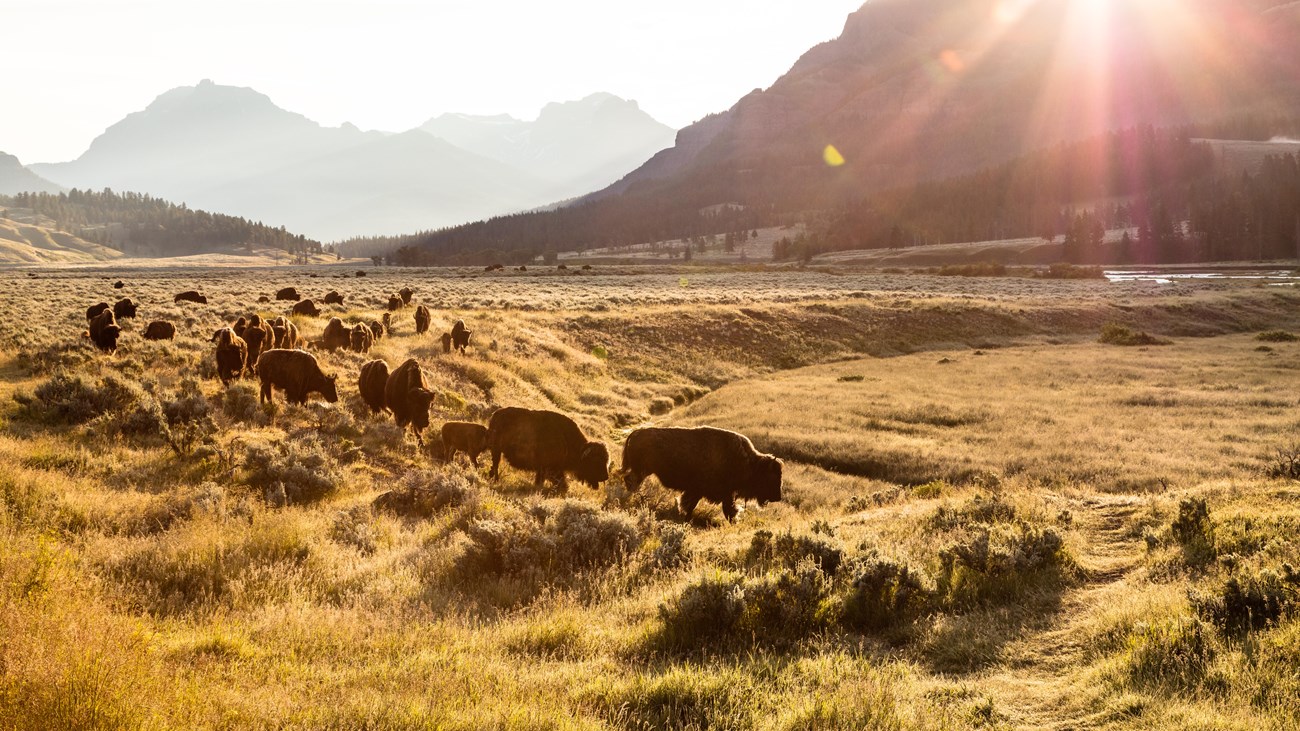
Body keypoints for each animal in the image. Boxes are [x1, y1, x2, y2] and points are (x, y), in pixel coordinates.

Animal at [618, 424, 780, 520]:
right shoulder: (716, 492)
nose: (778, 497)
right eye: (770, 476)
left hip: (642, 470)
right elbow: (725, 509)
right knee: (631, 481)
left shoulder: (707, 492)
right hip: (642, 470)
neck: (749, 463)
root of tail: (636, 432)